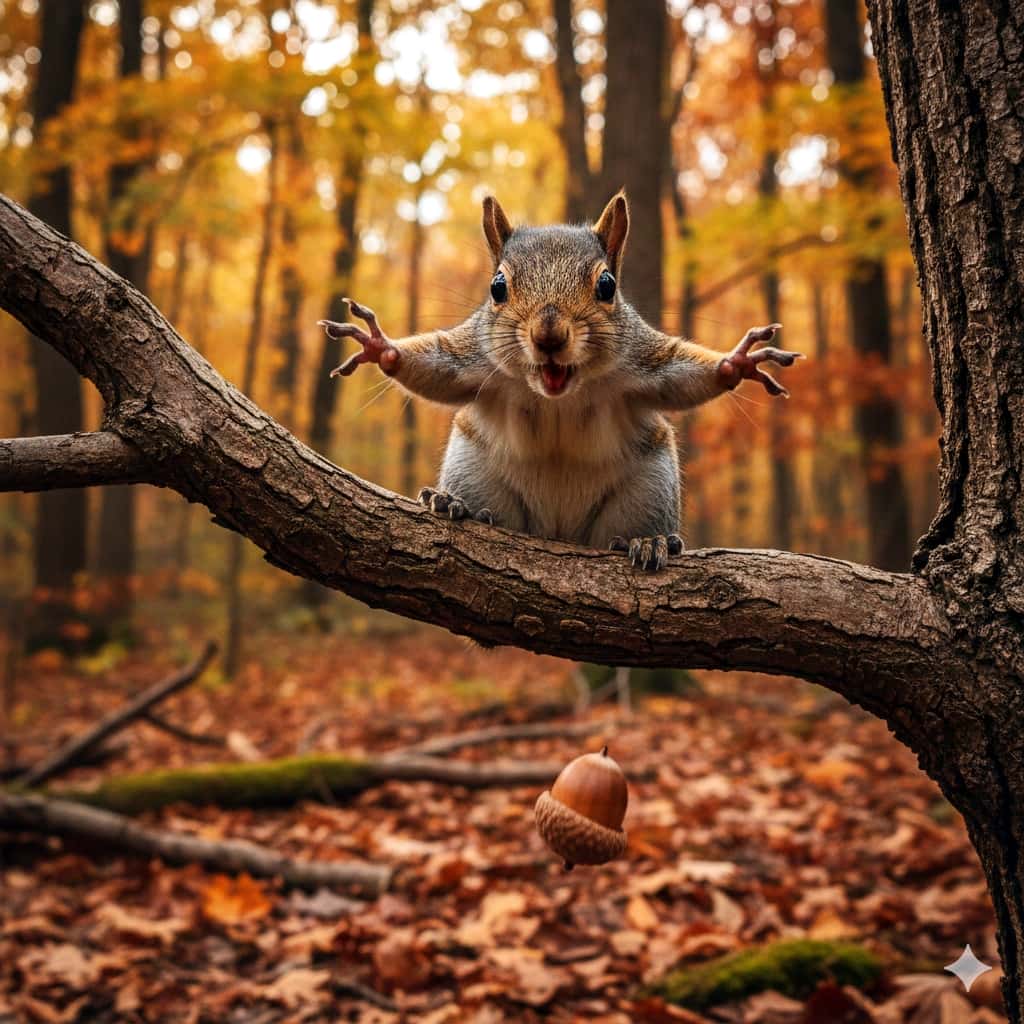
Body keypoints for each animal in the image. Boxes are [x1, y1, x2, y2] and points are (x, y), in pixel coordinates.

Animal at [318, 191, 802, 572]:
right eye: (497, 287)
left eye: (607, 285)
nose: (548, 335)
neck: (557, 393)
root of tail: (558, 531)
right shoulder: (475, 357)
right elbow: (439, 370)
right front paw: (380, 347)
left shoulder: (640, 361)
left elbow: (681, 376)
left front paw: (738, 362)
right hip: (476, 471)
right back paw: (456, 504)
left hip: (648, 488)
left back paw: (650, 540)